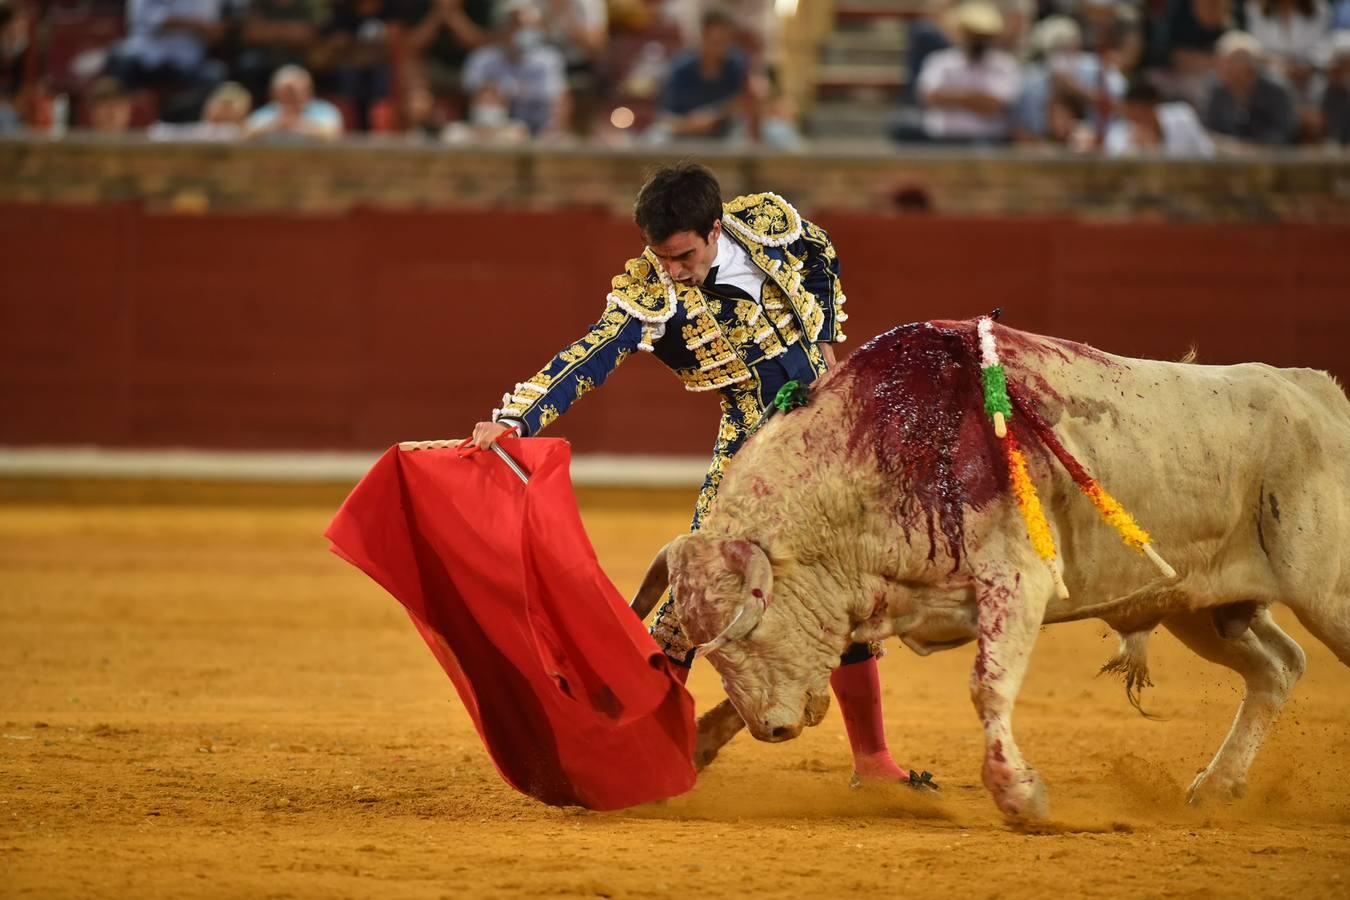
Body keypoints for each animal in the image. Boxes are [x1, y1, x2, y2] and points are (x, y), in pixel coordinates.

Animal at [631, 319, 1350, 820]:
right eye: (711, 647)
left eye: (748, 631)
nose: (774, 730)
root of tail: (1319, 392)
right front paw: (696, 744)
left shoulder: (1018, 582)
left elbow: (988, 686)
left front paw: (1019, 795)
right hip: (1199, 607)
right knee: (1279, 667)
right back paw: (1216, 786)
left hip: (1325, 593)